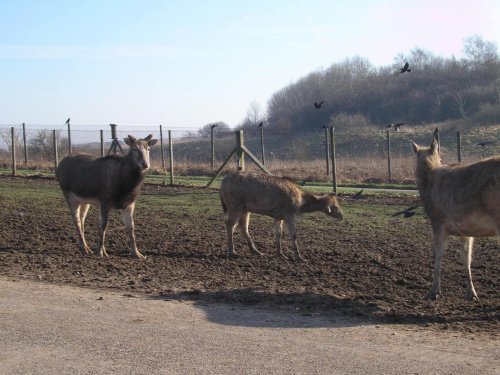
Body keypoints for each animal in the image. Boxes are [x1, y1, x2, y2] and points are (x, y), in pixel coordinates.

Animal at [412, 140, 500, 302]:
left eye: (441, 158)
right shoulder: (465, 228)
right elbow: (466, 257)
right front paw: (471, 293)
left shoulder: (437, 220)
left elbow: (437, 254)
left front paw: (434, 291)